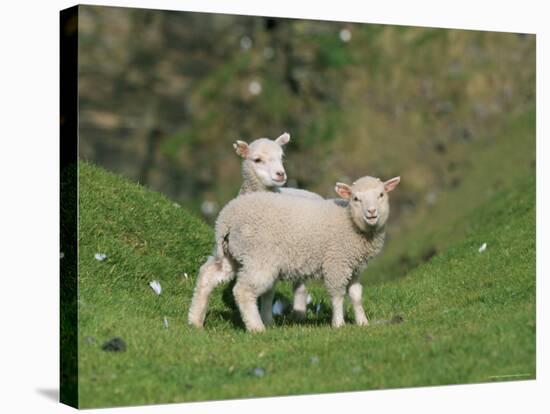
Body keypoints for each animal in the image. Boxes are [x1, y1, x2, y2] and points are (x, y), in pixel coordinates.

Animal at [189, 173, 402, 332]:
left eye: (381, 194)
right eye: (356, 199)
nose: (372, 213)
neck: (350, 221)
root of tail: (225, 218)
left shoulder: (355, 266)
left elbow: (356, 295)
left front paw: (362, 322)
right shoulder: (336, 262)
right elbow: (337, 295)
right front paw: (339, 324)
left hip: (232, 253)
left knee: (208, 275)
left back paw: (195, 320)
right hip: (259, 256)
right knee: (243, 290)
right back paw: (257, 328)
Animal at [233, 133, 324, 324]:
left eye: (281, 157)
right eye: (257, 159)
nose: (280, 174)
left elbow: (269, 293)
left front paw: (267, 320)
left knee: (300, 287)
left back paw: (299, 315)